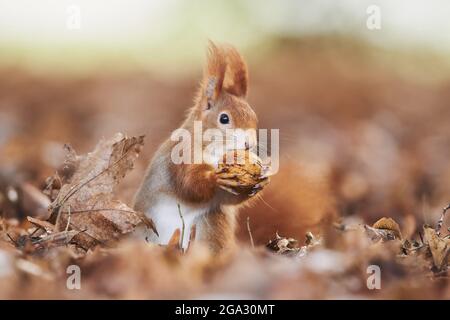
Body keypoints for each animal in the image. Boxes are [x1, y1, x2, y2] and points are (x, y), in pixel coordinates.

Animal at [133, 42, 268, 252]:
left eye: (254, 117)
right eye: (224, 119)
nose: (249, 144)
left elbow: (230, 199)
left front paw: (261, 180)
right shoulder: (181, 155)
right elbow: (190, 184)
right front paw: (215, 178)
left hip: (209, 221)